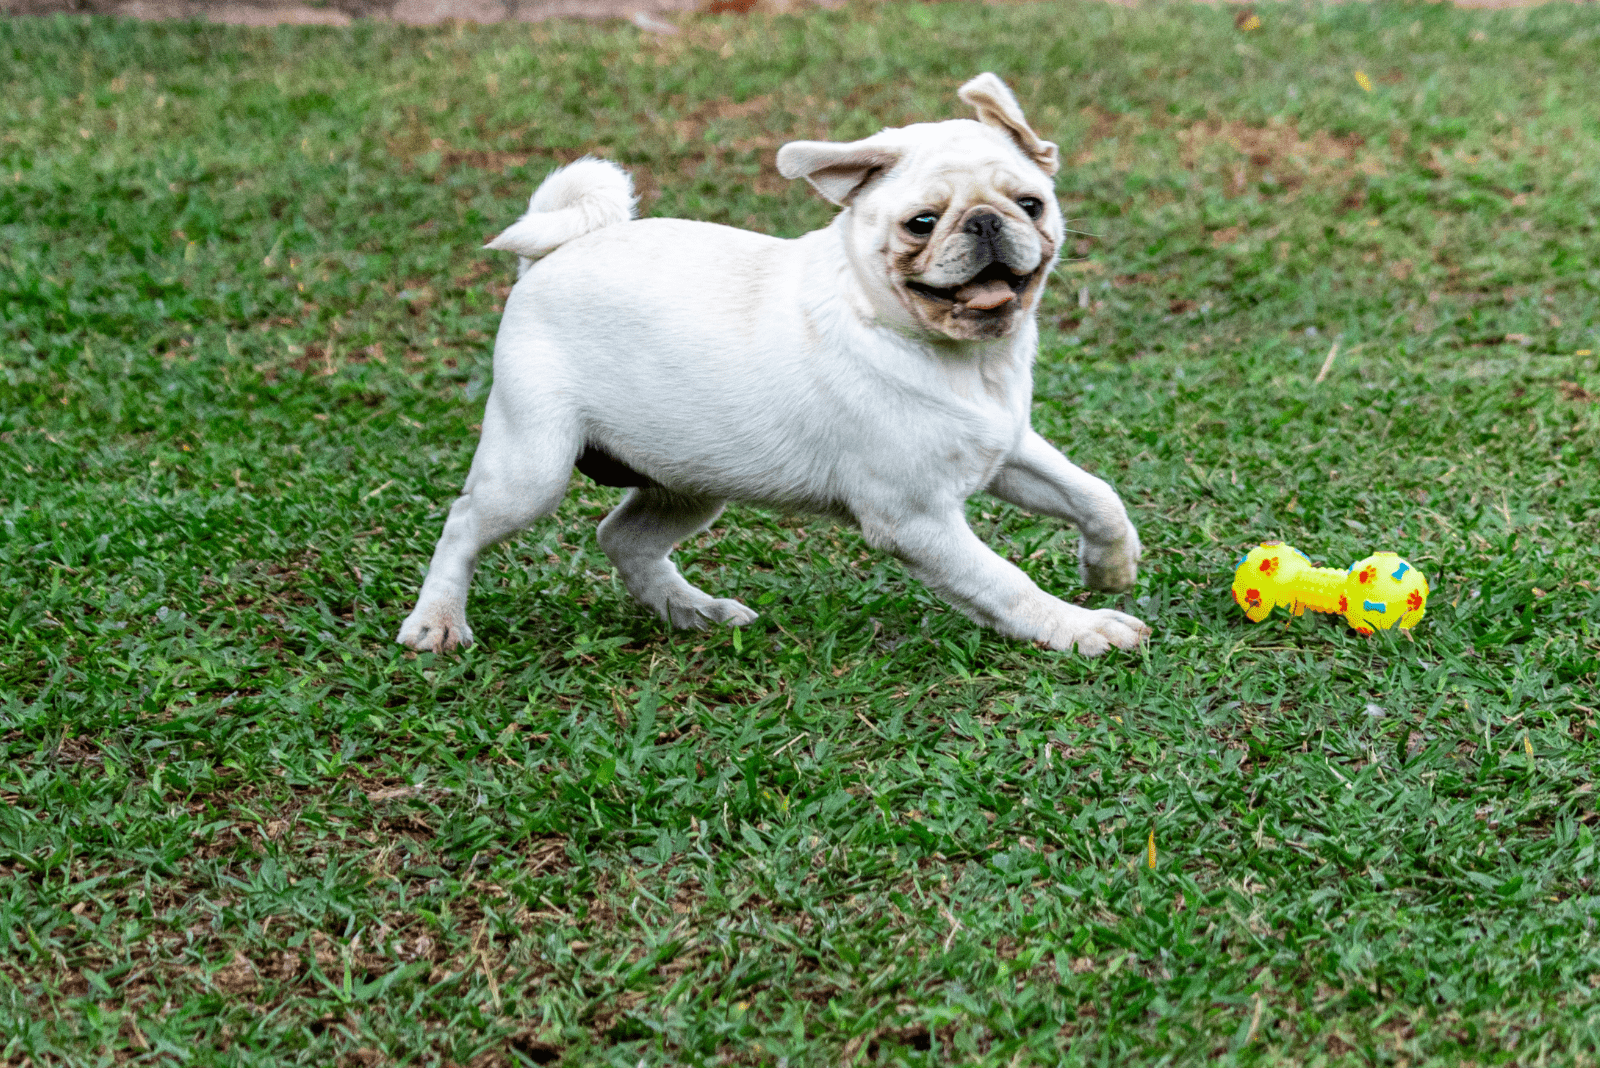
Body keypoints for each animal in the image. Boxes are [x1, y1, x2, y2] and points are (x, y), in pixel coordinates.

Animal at [396, 73, 1152, 652]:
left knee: (623, 539)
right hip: (533, 469)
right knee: (465, 522)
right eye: (922, 224)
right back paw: (436, 624)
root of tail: (553, 254)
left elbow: (1096, 496)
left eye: (1031, 204)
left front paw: (1109, 569)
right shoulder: (914, 518)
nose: (988, 222)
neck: (962, 358)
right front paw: (1081, 627)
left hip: (690, 480)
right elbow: (1005, 582)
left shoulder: (1007, 449)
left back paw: (692, 610)